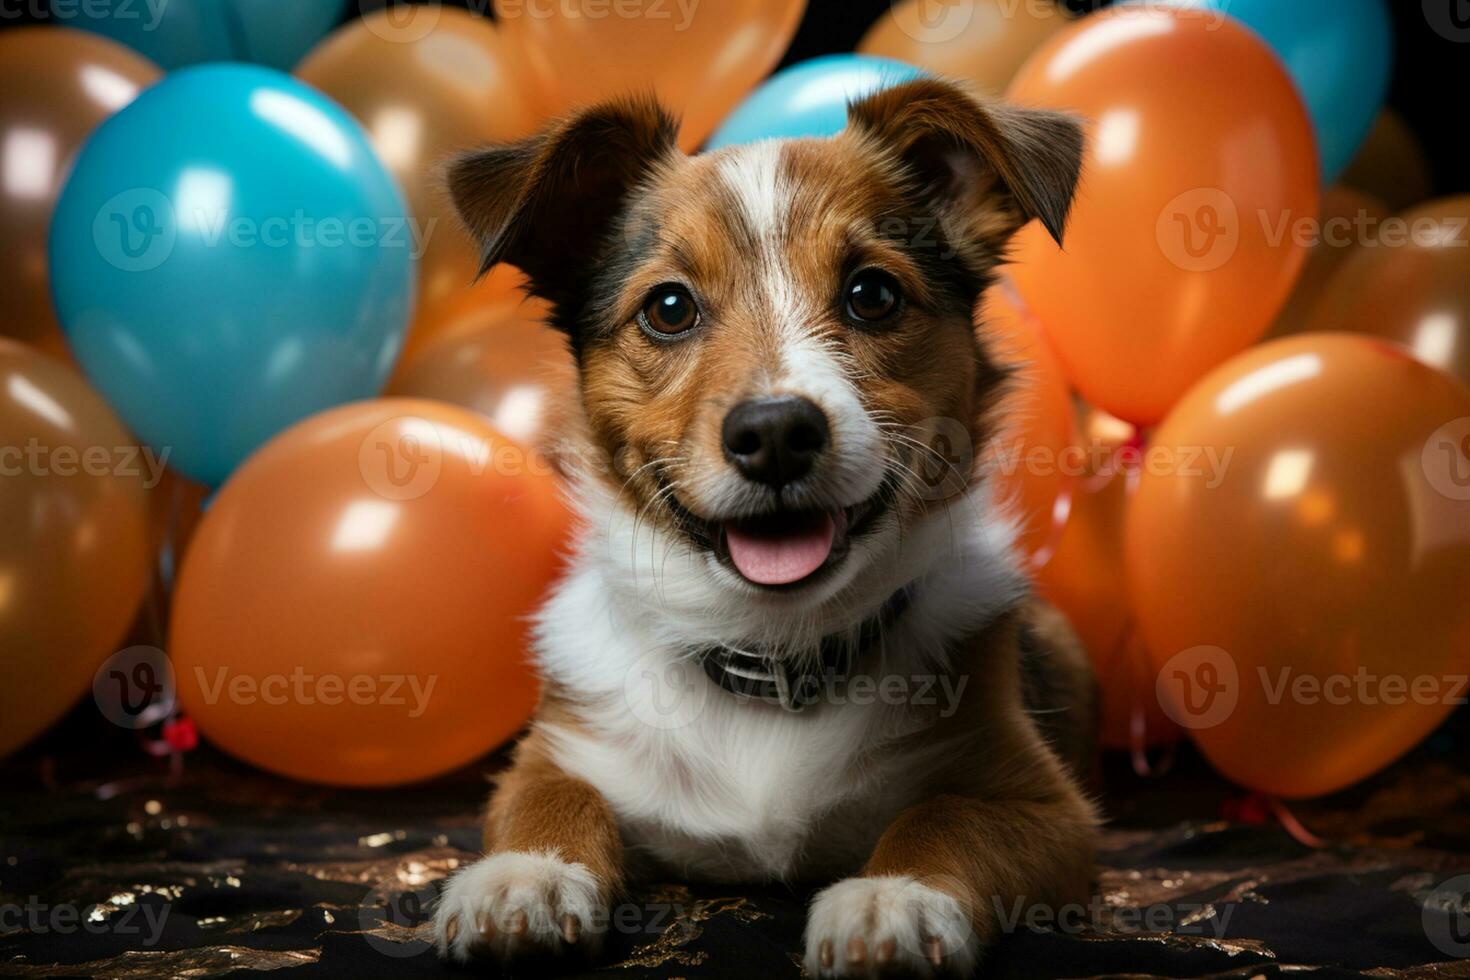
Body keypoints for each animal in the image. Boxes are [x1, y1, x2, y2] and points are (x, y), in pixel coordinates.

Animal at [429, 74, 1099, 975]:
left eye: (873, 294)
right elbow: (552, 797)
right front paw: (525, 875)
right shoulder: (556, 751)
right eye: (669, 307)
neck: (771, 652)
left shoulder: (1047, 806)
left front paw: (896, 895)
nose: (776, 431)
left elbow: (944, 817)